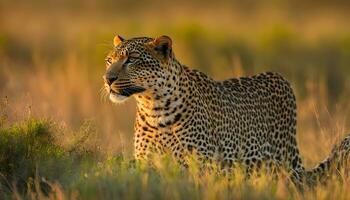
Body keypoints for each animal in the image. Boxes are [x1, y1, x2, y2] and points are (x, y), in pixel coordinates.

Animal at [102, 35, 350, 188]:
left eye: (132, 60)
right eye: (109, 60)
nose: (107, 78)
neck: (153, 108)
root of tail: (281, 79)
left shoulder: (197, 165)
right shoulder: (146, 163)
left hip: (283, 166)